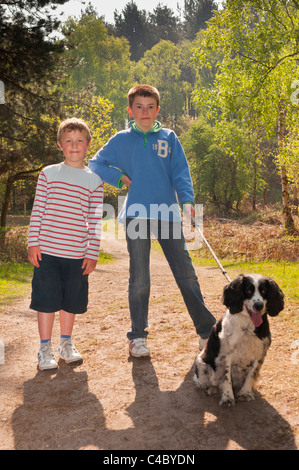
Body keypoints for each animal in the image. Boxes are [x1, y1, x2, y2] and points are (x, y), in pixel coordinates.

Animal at [195, 274, 286, 406]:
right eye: (248, 290)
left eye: (264, 290)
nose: (259, 305)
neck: (248, 324)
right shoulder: (226, 354)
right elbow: (226, 377)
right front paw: (227, 397)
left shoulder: (259, 353)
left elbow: (251, 376)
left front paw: (245, 393)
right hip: (201, 363)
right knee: (206, 381)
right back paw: (212, 389)